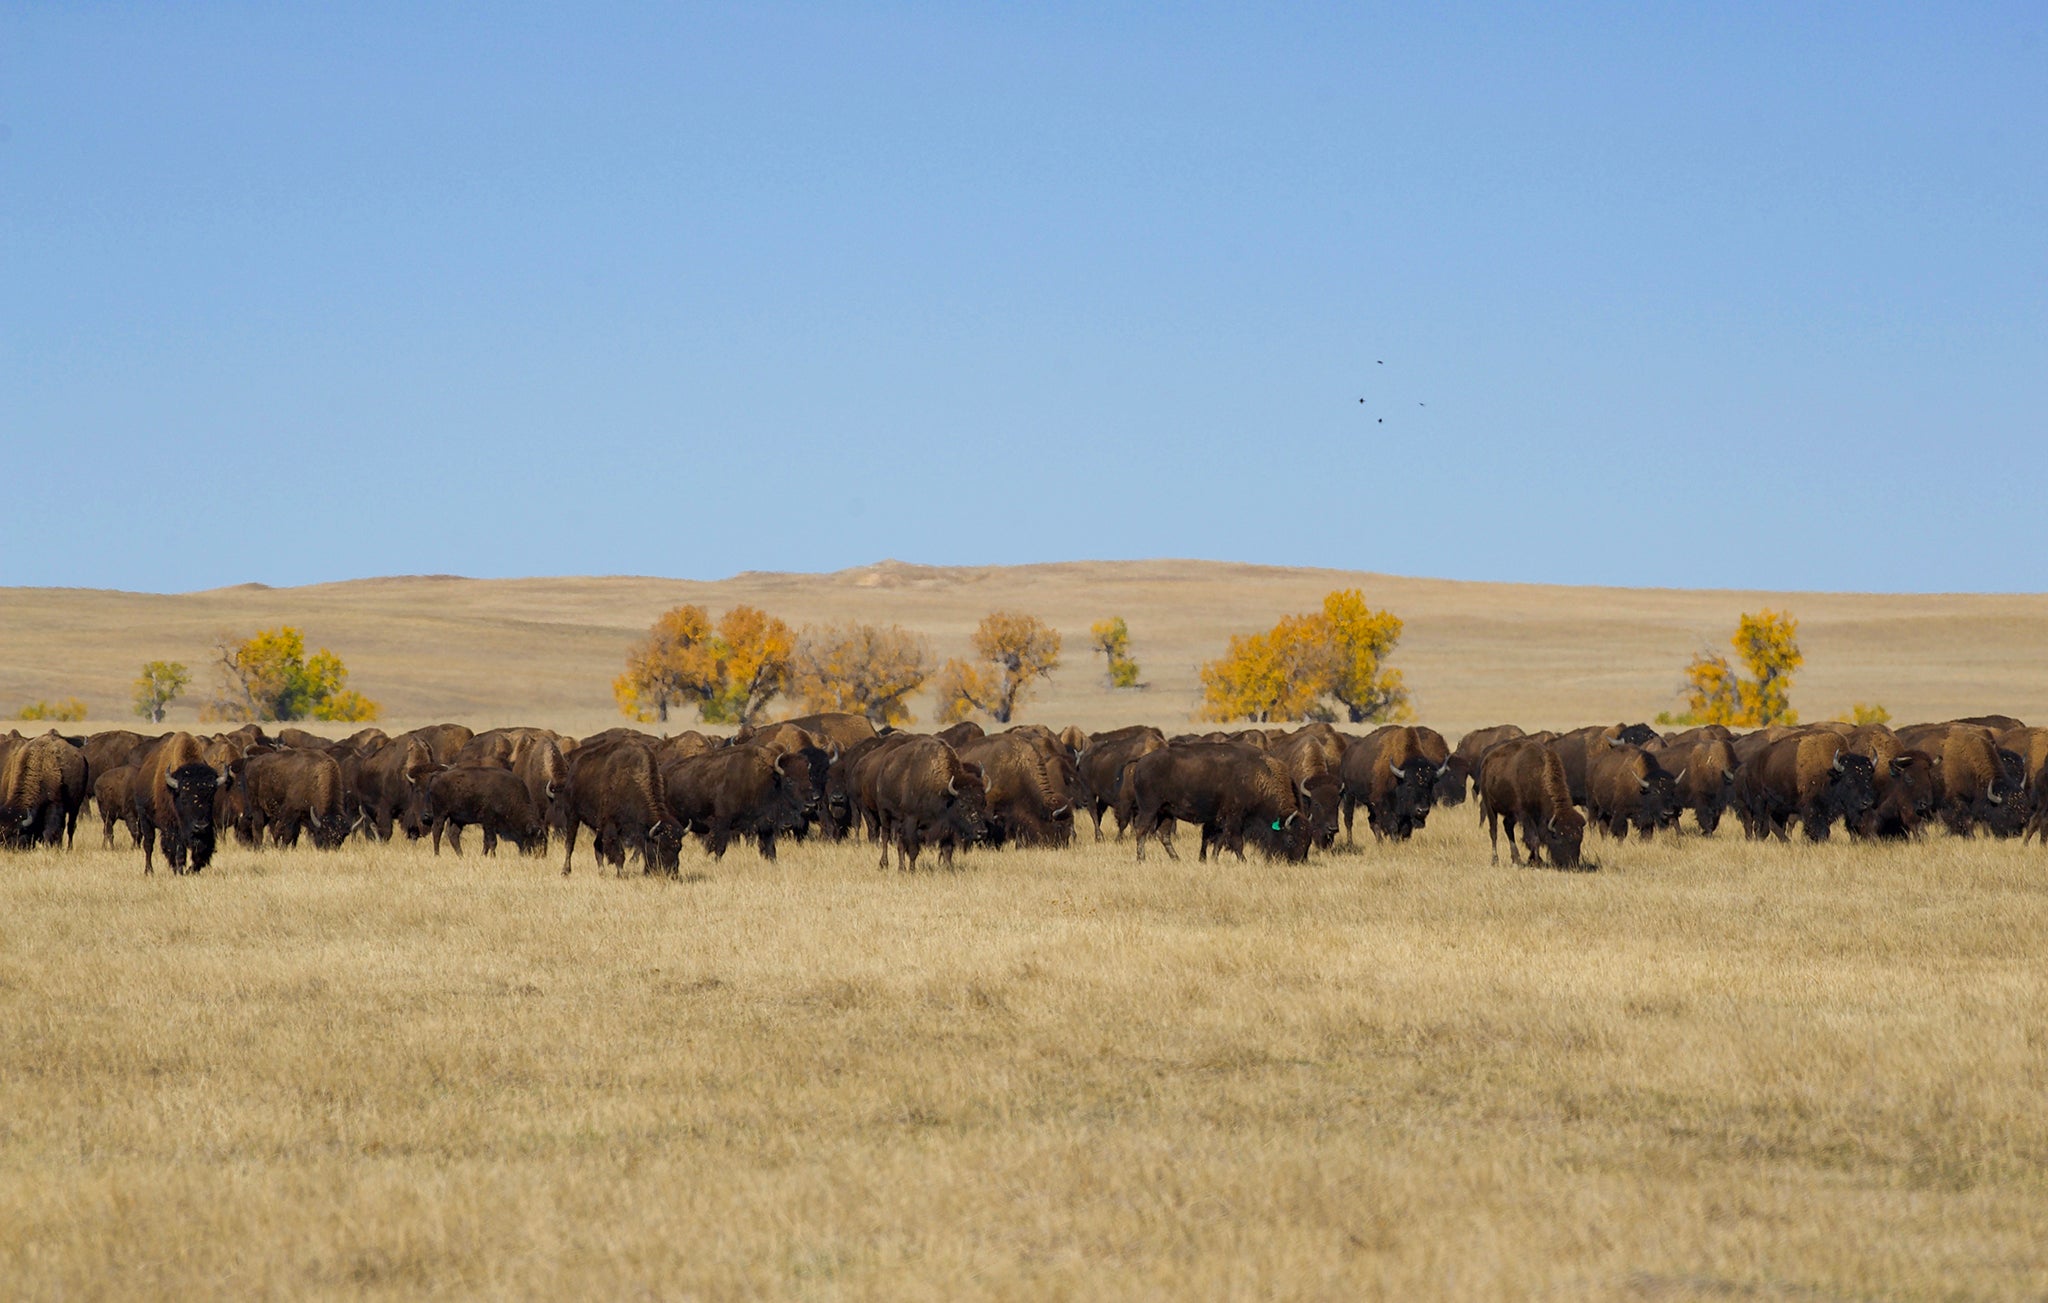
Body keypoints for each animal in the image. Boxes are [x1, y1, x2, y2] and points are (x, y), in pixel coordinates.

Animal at [1474, 737, 1581, 868]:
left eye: (1579, 840)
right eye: (1561, 839)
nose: (1572, 864)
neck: (1537, 775)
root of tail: (1486, 763)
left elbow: (1536, 837)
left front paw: (1533, 860)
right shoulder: (1526, 815)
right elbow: (1534, 838)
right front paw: (1537, 862)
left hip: (1510, 814)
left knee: (1507, 827)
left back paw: (1517, 859)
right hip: (1490, 806)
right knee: (1494, 831)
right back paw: (1495, 860)